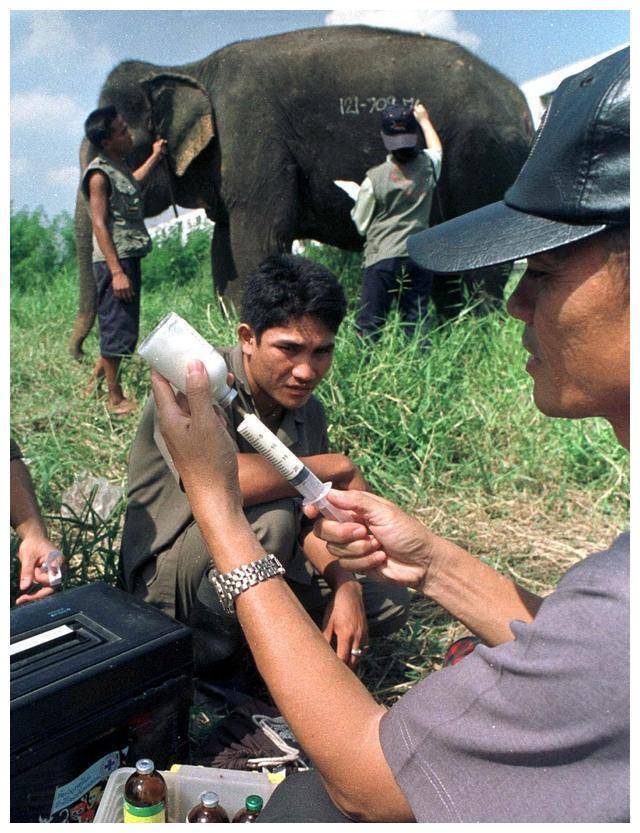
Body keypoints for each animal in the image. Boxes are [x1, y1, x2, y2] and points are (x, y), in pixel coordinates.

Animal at [70, 25, 532, 358]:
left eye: (116, 148)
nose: (79, 354)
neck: (192, 68)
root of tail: (526, 110)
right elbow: (224, 254)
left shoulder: (254, 141)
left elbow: (260, 239)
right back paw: (454, 334)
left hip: (485, 165)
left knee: (481, 265)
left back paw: (481, 334)